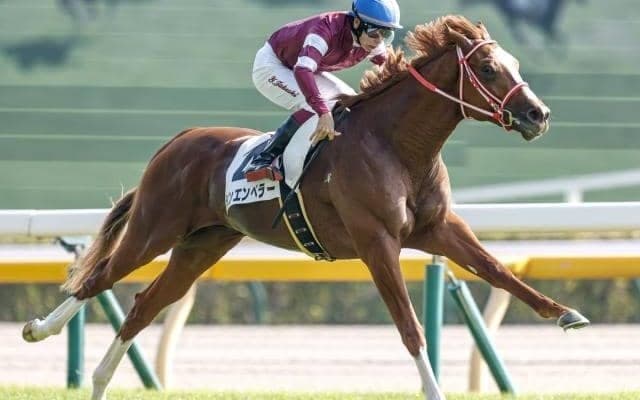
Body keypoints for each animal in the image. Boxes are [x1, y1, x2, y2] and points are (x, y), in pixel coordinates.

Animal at [22, 15, 588, 400]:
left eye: (515, 65)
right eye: (490, 68)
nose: (538, 115)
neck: (398, 146)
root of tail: (177, 141)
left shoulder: (437, 229)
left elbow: (498, 271)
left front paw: (564, 314)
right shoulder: (376, 242)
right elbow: (409, 324)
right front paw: (434, 390)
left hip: (203, 244)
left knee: (143, 304)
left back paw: (99, 380)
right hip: (154, 228)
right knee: (98, 279)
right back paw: (40, 331)